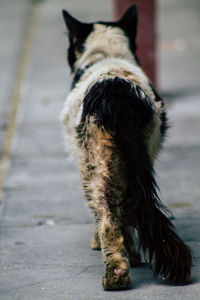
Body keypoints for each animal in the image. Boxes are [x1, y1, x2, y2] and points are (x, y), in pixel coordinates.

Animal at [60, 5, 192, 290]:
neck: (107, 57)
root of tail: (115, 91)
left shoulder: (84, 168)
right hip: (132, 160)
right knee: (128, 210)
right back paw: (128, 262)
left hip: (95, 165)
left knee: (108, 218)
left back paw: (118, 274)